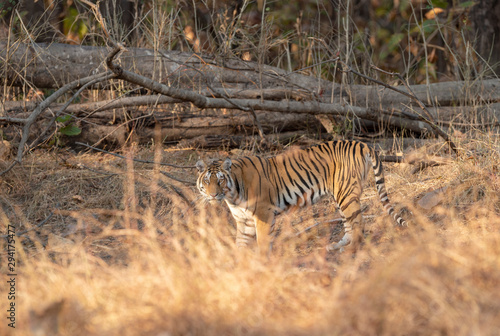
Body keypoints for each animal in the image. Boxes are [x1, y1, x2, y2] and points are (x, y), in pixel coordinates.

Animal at [195, 138, 406, 252]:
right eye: (207, 181)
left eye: (220, 181)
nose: (213, 195)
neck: (232, 196)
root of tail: (361, 143)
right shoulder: (243, 220)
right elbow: (240, 244)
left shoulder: (263, 215)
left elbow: (262, 242)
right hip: (340, 196)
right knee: (348, 223)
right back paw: (336, 246)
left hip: (346, 194)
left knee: (359, 223)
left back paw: (350, 248)